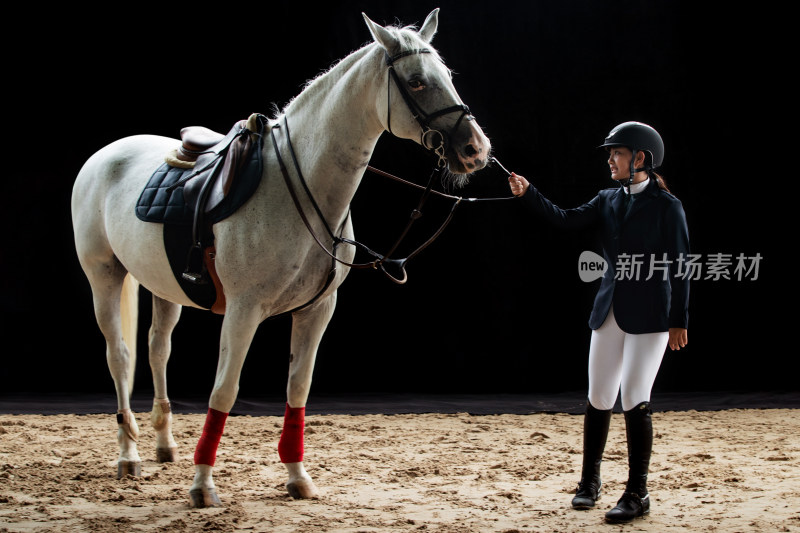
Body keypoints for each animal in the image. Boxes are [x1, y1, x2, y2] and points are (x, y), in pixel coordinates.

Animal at [72, 9, 490, 508]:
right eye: (417, 82)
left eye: (448, 76)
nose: (476, 149)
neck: (298, 187)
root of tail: (106, 154)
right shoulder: (243, 311)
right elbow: (224, 391)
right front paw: (203, 484)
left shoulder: (317, 310)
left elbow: (297, 388)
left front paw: (296, 475)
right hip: (103, 276)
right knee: (120, 357)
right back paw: (128, 455)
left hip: (163, 287)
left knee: (157, 350)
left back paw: (164, 445)